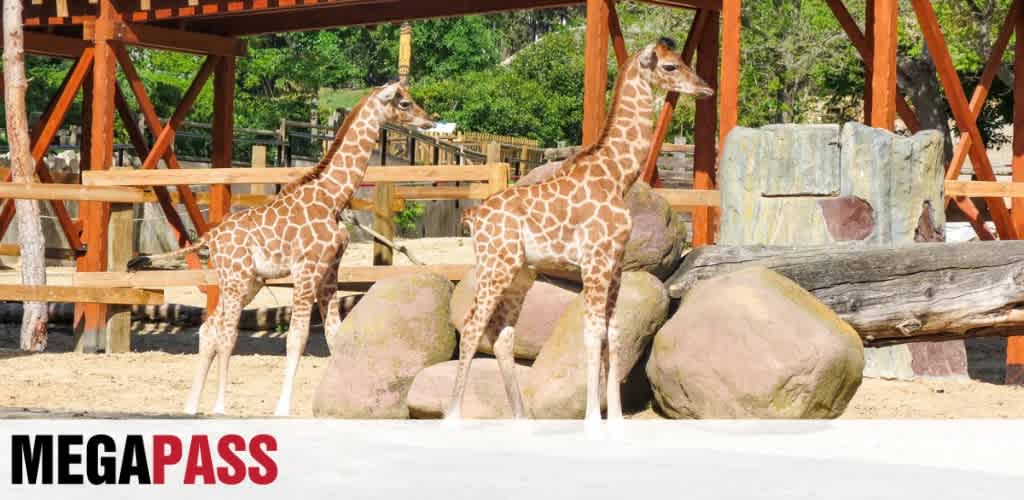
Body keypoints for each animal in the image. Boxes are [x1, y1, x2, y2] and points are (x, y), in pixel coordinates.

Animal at [128, 83, 435, 416]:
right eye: (404, 103)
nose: (429, 120)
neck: (334, 197)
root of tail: (209, 238)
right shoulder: (306, 270)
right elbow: (297, 338)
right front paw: (283, 408)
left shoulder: (329, 271)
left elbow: (335, 336)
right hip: (236, 280)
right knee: (226, 335)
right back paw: (220, 406)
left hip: (249, 282)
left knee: (209, 329)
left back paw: (192, 406)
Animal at [447, 38, 712, 432]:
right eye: (669, 67)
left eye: (683, 60)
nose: (706, 88)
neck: (617, 176)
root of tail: (473, 216)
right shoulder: (594, 262)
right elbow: (592, 334)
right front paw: (592, 421)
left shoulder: (615, 266)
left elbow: (612, 335)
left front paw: (615, 420)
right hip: (497, 265)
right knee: (471, 327)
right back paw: (451, 418)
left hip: (521, 273)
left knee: (503, 336)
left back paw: (522, 420)